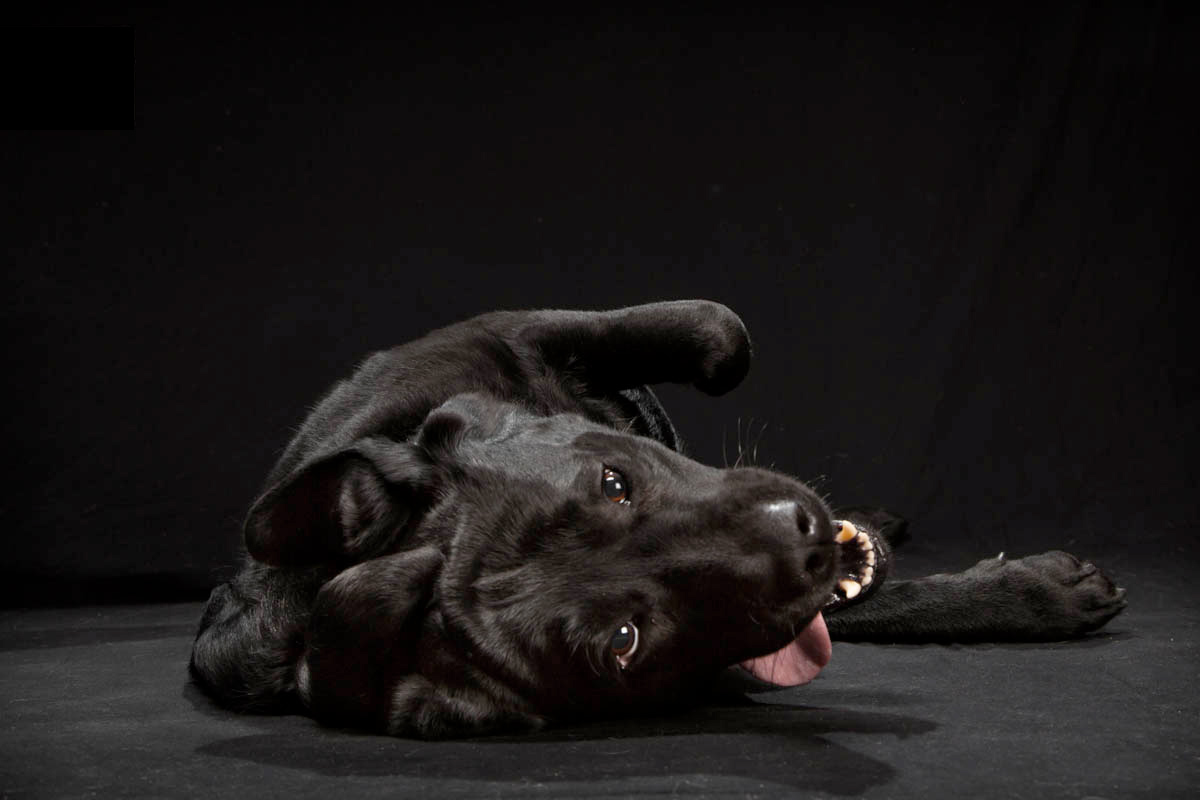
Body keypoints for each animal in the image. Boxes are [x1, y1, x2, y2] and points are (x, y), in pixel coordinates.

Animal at [189, 299, 1123, 738]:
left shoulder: (512, 329)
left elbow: (720, 332)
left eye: (612, 482)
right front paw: (1039, 592)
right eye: (625, 642)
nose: (802, 542)